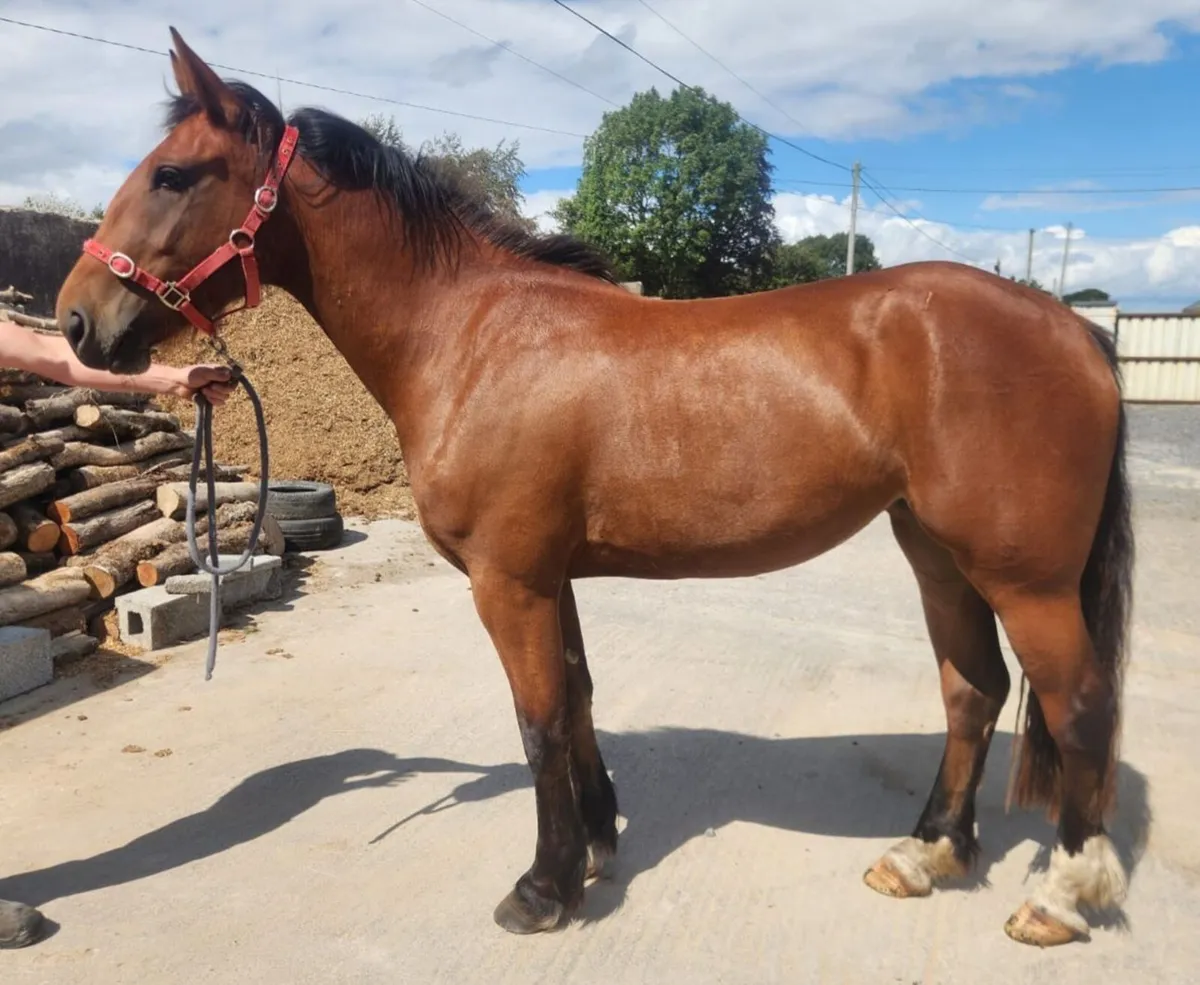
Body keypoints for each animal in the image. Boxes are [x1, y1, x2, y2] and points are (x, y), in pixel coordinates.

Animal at [8, 27, 1133, 951]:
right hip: (936, 551)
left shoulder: (509, 581)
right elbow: (581, 700)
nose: (76, 323)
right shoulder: (554, 577)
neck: (470, 335)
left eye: (172, 173)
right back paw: (926, 853)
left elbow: (539, 720)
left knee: (1077, 706)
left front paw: (542, 889)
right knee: (971, 689)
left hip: (1024, 576)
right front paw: (595, 845)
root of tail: (1071, 327)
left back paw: (1060, 897)